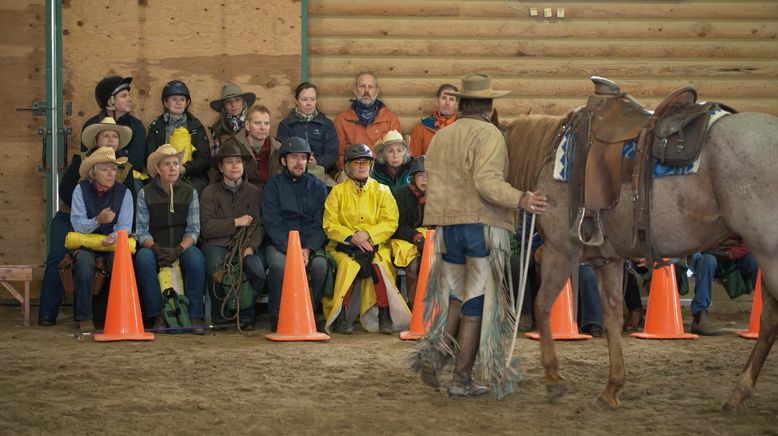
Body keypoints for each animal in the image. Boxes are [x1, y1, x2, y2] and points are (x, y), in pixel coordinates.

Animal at [504, 89, 776, 412]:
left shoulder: (560, 250)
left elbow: (543, 305)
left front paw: (554, 380)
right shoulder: (608, 260)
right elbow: (611, 317)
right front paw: (611, 388)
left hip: (769, 253)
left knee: (769, 320)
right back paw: (738, 394)